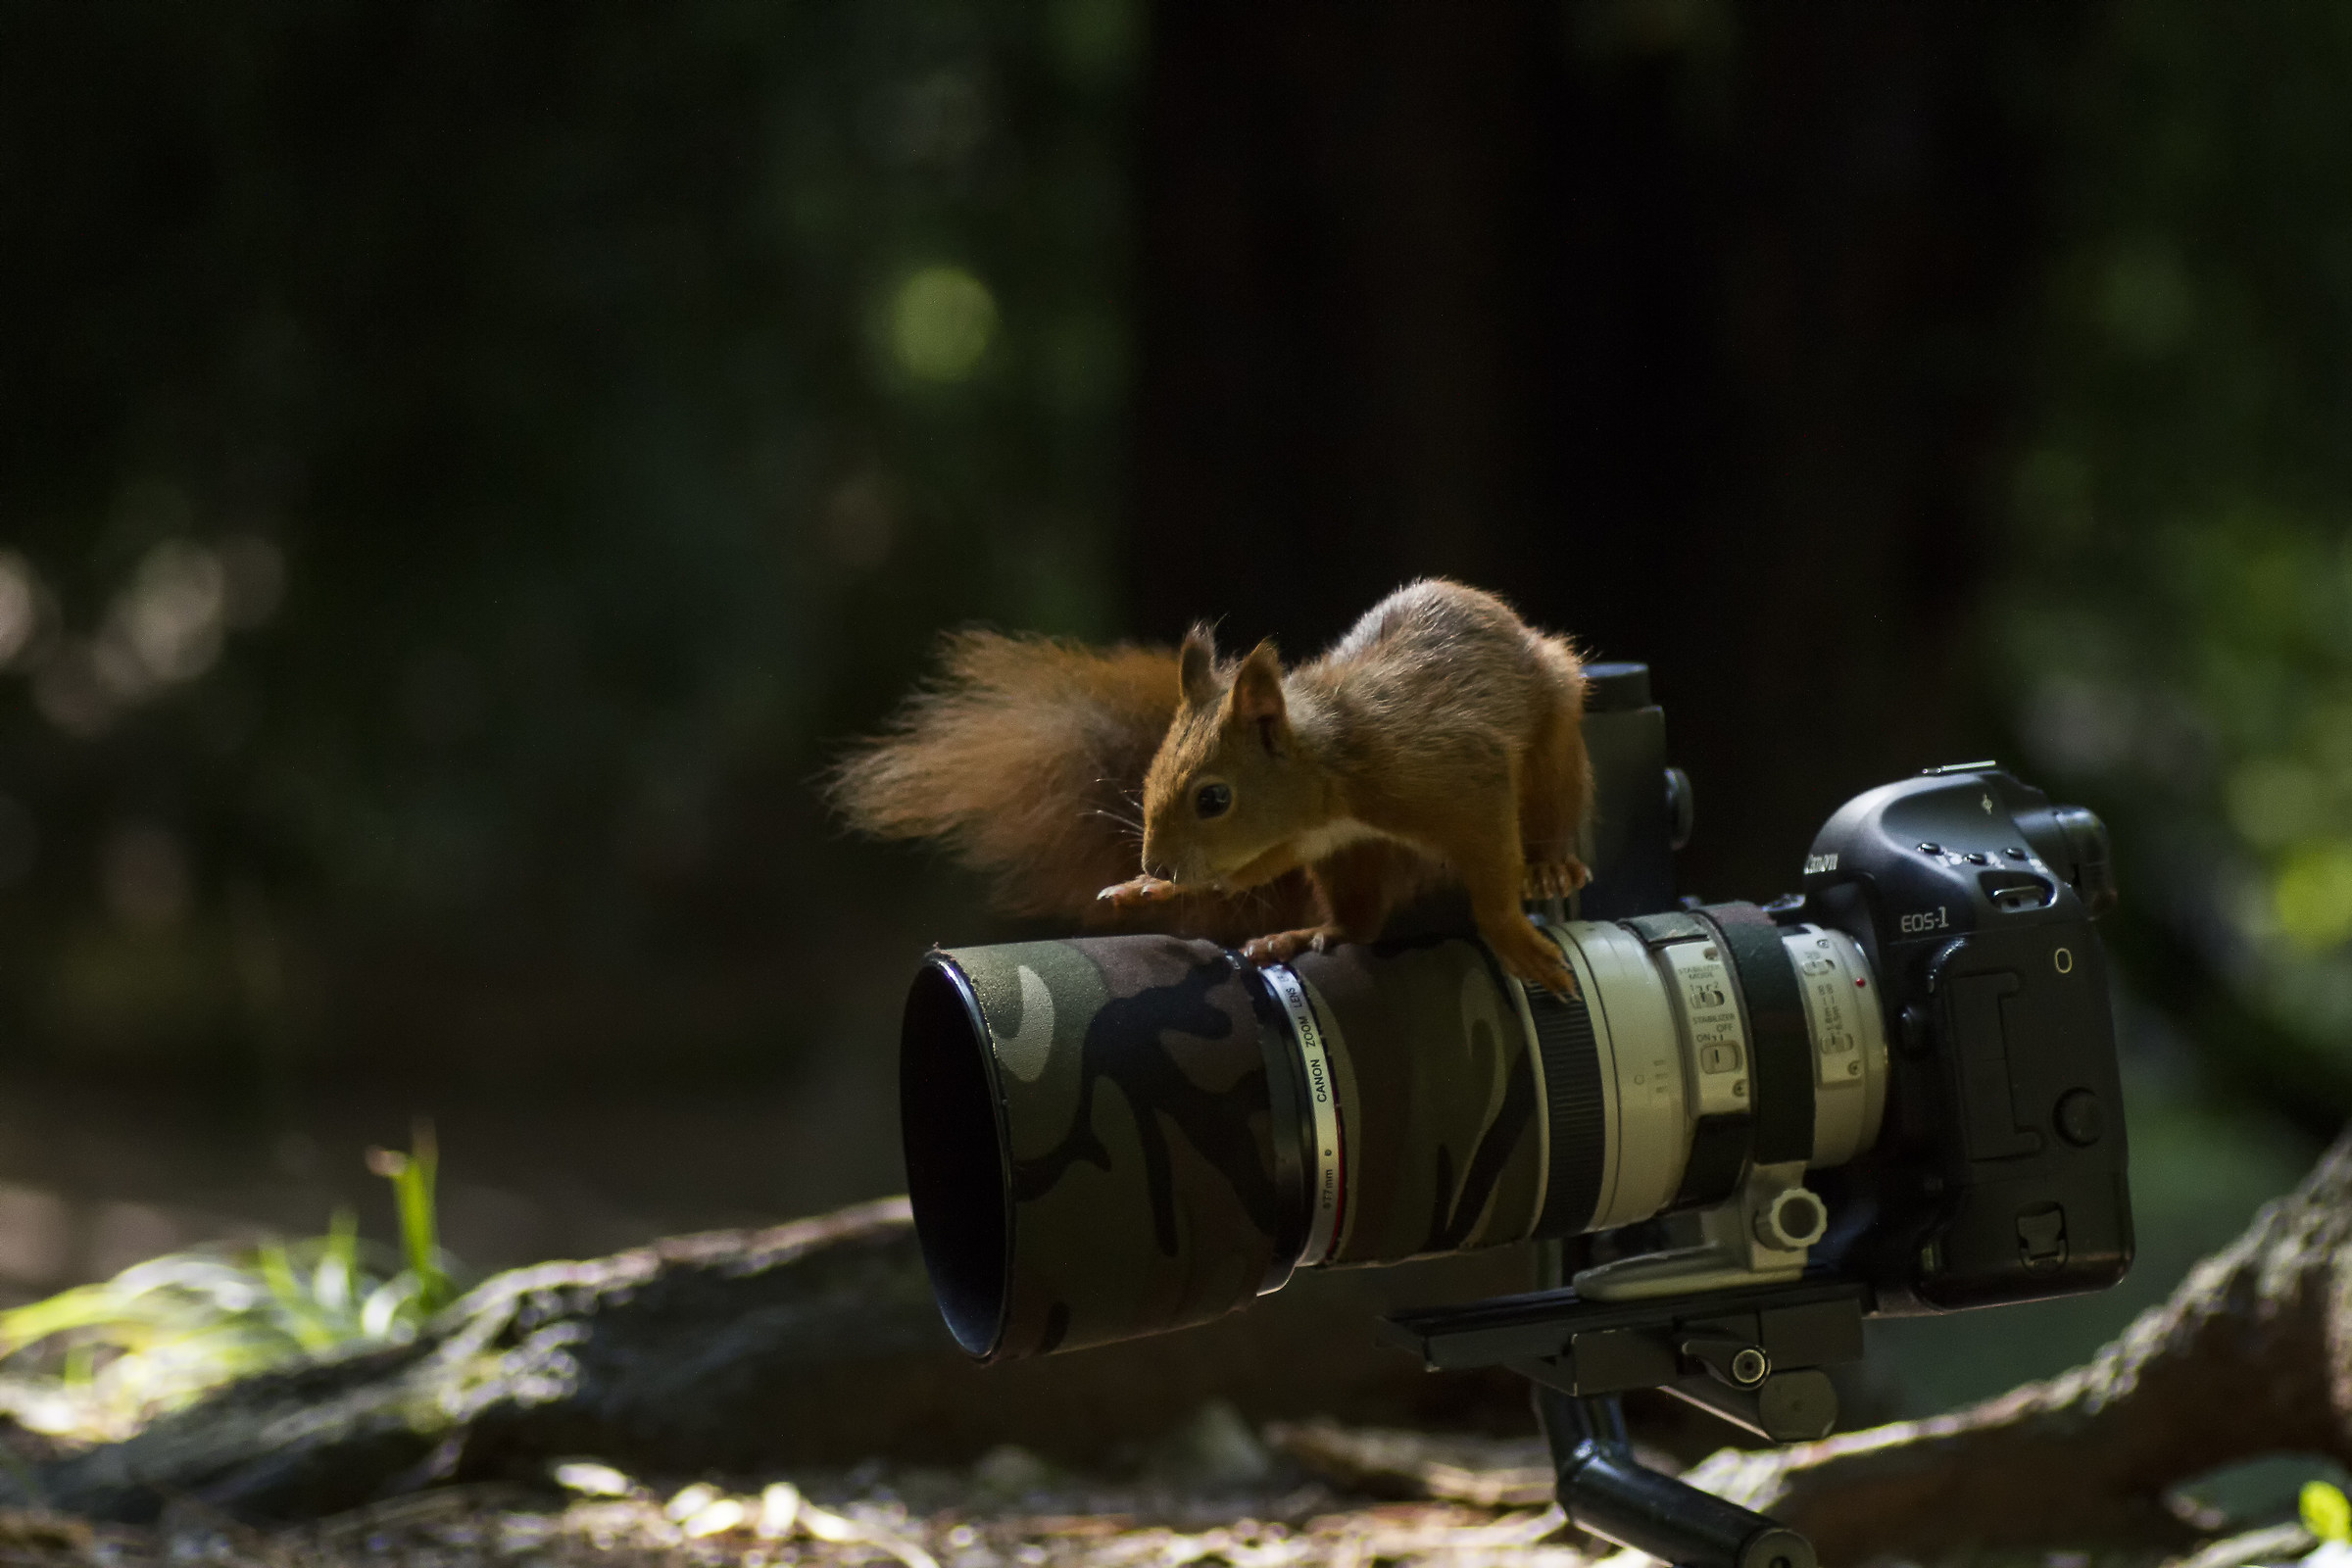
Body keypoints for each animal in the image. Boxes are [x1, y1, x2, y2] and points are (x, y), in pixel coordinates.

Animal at [827, 579, 1591, 996]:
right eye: (1148, 779)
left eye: (1214, 799)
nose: (1157, 863)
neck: (1331, 774)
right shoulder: (1298, 838)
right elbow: (1242, 872)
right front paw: (1152, 891)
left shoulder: (1455, 780)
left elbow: (1491, 866)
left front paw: (1515, 939)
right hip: (1348, 860)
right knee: (1359, 920)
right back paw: (1304, 933)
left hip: (1553, 733)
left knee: (1550, 801)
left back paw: (1554, 863)